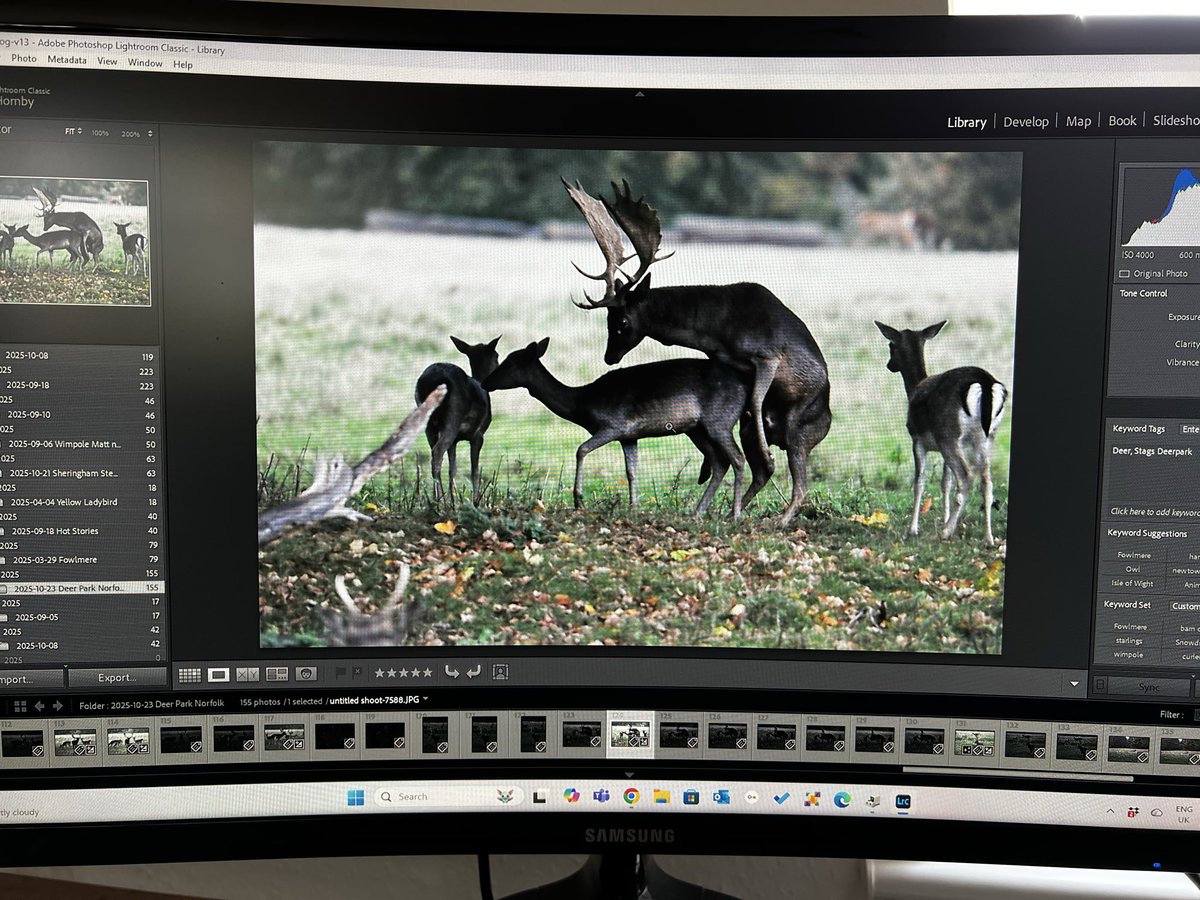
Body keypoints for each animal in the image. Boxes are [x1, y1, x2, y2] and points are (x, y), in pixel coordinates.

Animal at [414, 335, 501, 505]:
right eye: (497, 356)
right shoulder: (478, 434)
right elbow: (475, 470)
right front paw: (475, 501)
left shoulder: (455, 441)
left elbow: (452, 469)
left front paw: (454, 498)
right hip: (452, 418)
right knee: (437, 452)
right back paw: (439, 500)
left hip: (428, 423)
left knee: (434, 452)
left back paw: (438, 498)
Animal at [482, 337, 747, 518]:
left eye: (509, 363)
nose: (486, 382)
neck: (582, 404)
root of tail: (744, 387)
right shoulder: (629, 436)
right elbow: (631, 471)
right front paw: (633, 506)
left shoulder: (614, 425)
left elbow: (581, 450)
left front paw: (578, 499)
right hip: (697, 429)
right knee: (719, 462)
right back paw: (698, 511)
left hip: (719, 421)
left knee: (737, 458)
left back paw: (734, 514)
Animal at [563, 178, 830, 526]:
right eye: (608, 320)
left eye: (621, 321)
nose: (609, 357)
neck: (716, 330)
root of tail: (827, 422)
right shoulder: (721, 361)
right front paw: (709, 469)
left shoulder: (768, 355)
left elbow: (756, 400)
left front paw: (766, 456)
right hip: (758, 432)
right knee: (759, 472)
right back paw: (733, 509)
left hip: (802, 433)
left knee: (800, 484)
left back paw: (778, 515)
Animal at [875, 321, 1008, 547]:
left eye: (890, 345)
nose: (889, 365)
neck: (914, 389)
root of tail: (985, 382)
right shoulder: (941, 446)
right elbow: (945, 483)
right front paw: (945, 519)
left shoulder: (917, 439)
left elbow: (919, 481)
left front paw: (912, 529)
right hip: (986, 437)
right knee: (987, 482)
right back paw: (987, 538)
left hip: (950, 434)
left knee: (966, 475)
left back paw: (946, 533)